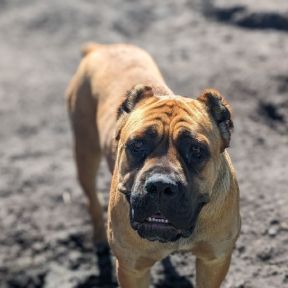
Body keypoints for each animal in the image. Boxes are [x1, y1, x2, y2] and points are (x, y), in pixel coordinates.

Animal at [65, 42, 241, 288]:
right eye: (137, 145)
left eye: (196, 150)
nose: (160, 186)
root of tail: (102, 48)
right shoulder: (132, 269)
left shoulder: (214, 261)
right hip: (85, 151)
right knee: (91, 198)